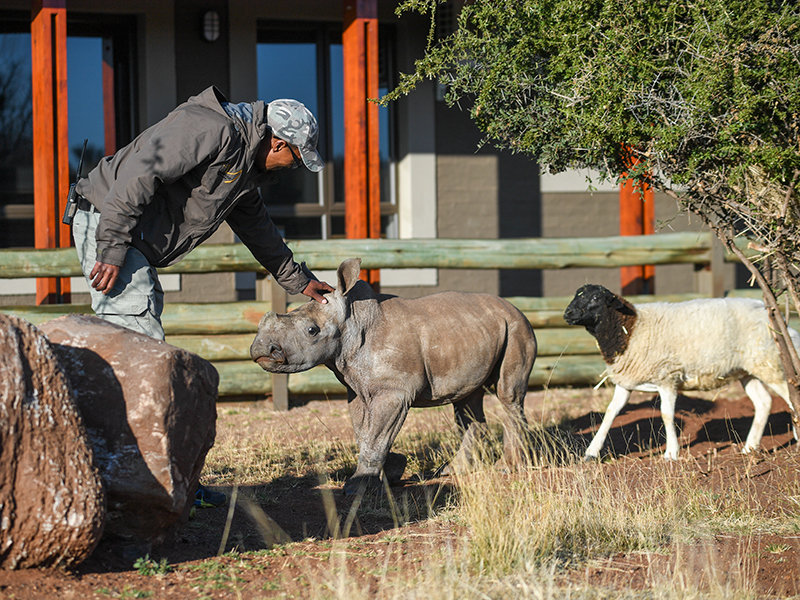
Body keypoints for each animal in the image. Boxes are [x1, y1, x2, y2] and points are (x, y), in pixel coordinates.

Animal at [250, 258, 536, 492]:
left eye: (312, 330)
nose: (261, 349)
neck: (353, 320)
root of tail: (515, 308)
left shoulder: (394, 391)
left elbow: (376, 434)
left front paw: (357, 487)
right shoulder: (358, 388)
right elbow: (365, 432)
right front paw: (392, 471)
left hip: (516, 327)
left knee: (508, 394)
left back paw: (506, 467)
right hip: (477, 331)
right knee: (467, 401)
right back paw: (452, 471)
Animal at [564, 284, 800, 460]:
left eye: (595, 298)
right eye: (576, 295)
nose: (567, 313)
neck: (630, 329)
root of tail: (779, 319)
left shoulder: (667, 377)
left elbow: (666, 415)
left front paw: (671, 453)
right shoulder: (626, 382)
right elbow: (610, 413)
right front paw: (592, 452)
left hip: (771, 363)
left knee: (791, 399)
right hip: (747, 370)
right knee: (763, 402)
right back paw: (749, 448)